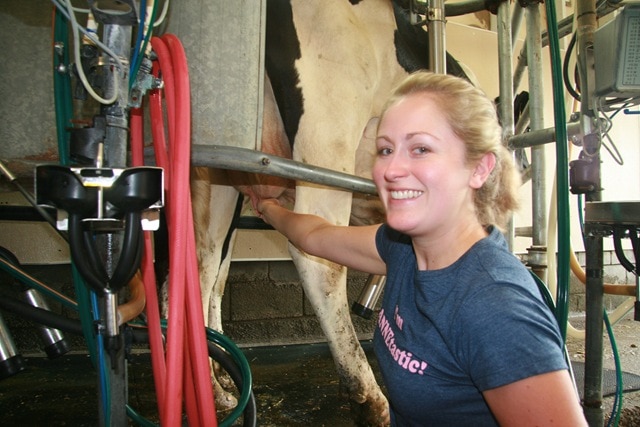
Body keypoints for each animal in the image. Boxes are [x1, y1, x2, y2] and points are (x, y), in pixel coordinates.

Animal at [190, 1, 470, 424]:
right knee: (319, 261)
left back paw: (217, 390)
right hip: (329, 132)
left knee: (204, 262)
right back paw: (369, 399)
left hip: (219, 164)